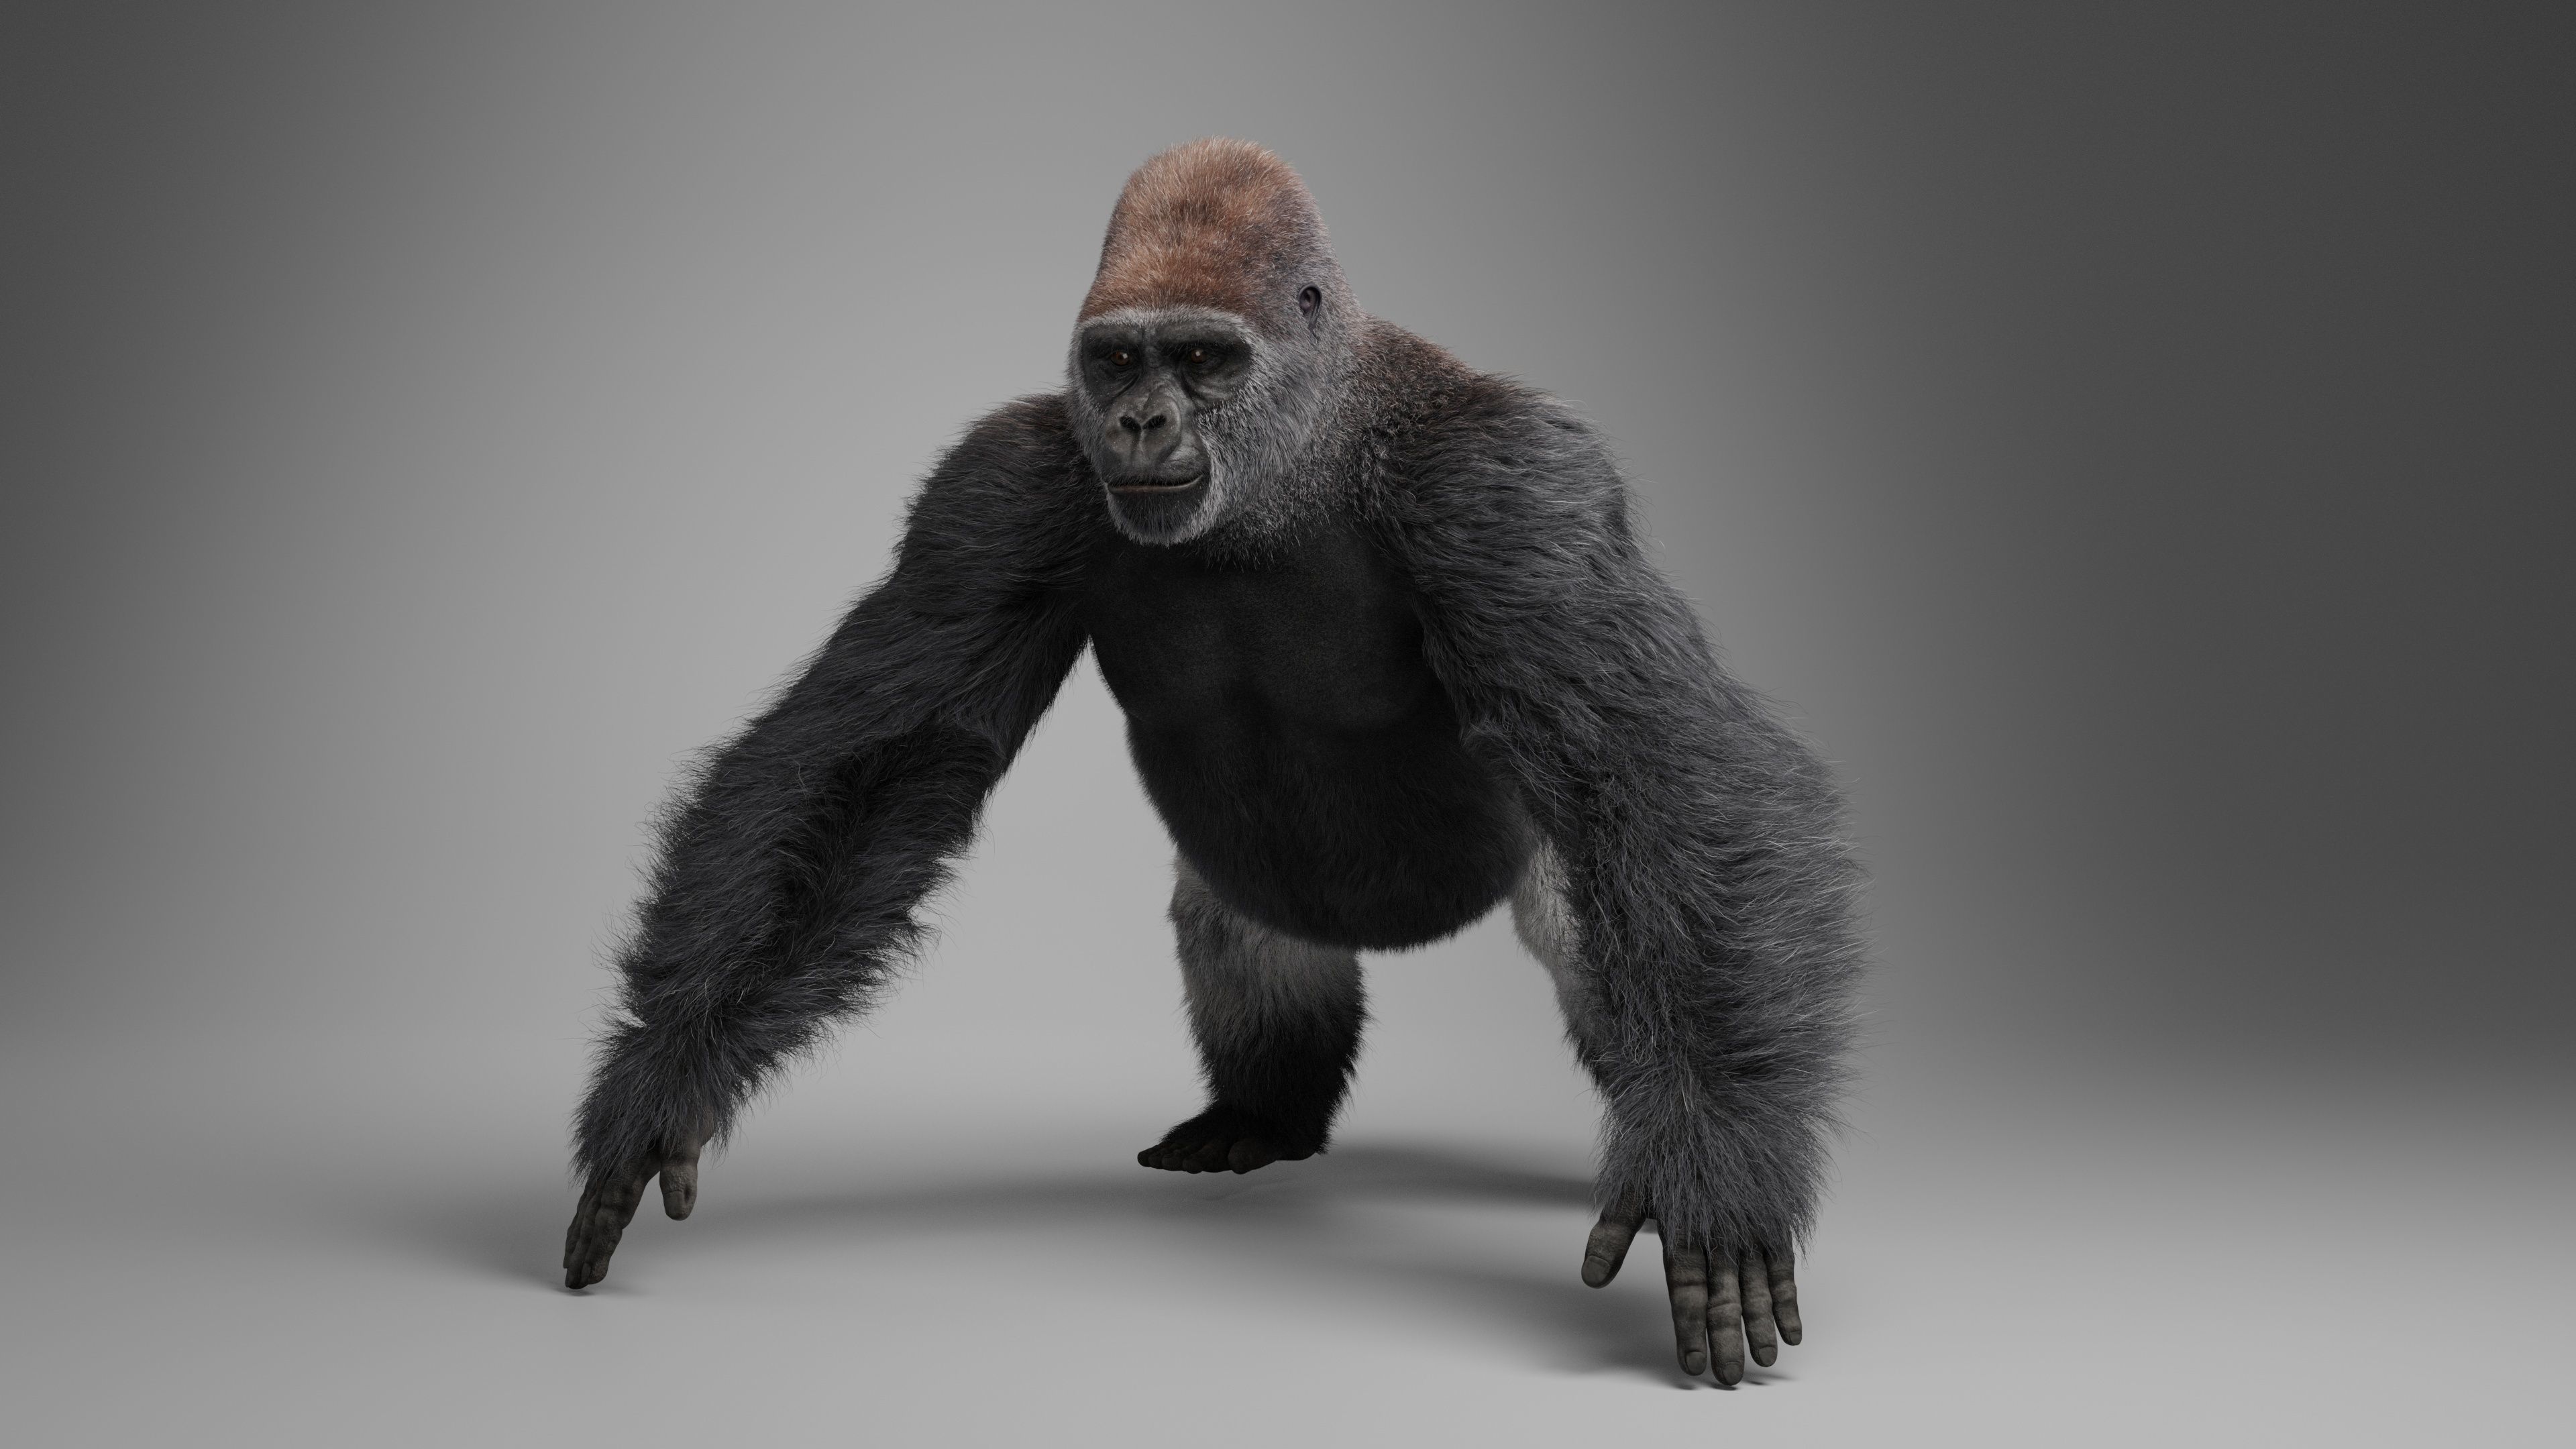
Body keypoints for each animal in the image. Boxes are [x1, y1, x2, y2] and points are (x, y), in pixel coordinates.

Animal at [562, 139, 1861, 1386]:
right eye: (1119, 365)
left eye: (1202, 360)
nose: (1141, 424)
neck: (1313, 442)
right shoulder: (996, 489)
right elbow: (879, 760)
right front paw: (669, 1070)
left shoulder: (1511, 483)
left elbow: (1651, 767)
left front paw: (1719, 1157)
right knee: (1239, 931)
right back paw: (1262, 1115)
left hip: (1546, 875)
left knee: (1602, 948)